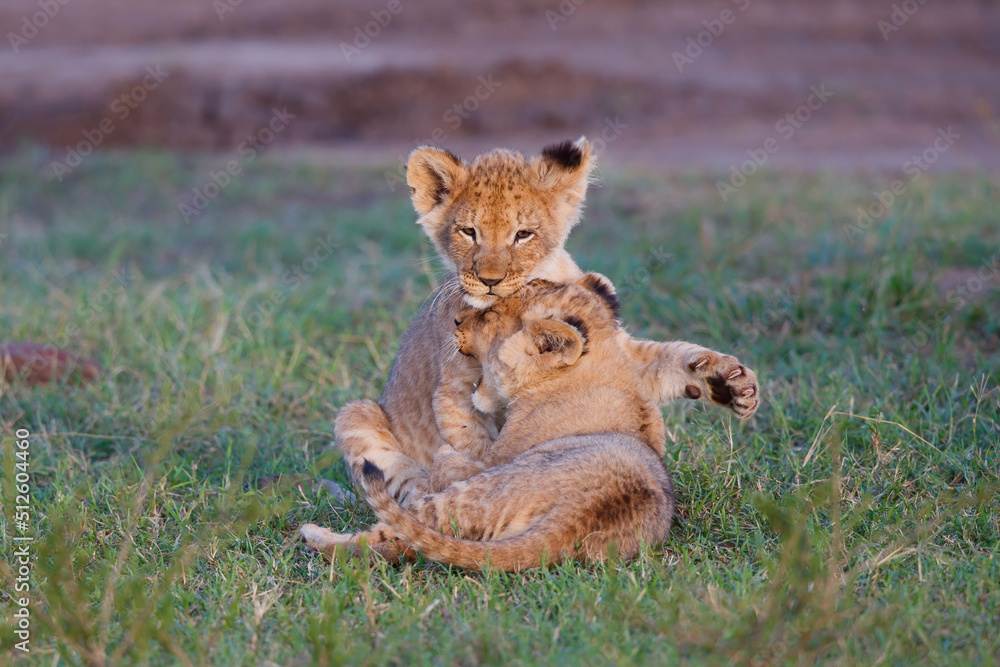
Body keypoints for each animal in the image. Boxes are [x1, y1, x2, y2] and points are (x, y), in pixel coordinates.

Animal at [301, 274, 758, 570]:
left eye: (488, 317)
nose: (455, 321)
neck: (599, 368)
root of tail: (575, 518)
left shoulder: (493, 459)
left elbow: (454, 457)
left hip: (472, 492)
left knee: (397, 538)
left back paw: (316, 536)